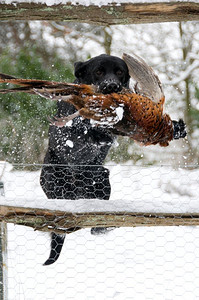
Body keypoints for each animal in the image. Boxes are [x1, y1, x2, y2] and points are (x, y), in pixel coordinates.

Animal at [40, 54, 131, 264]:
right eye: (98, 71)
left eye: (119, 72)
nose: (111, 86)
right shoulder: (68, 135)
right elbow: (80, 125)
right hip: (53, 180)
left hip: (102, 179)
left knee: (96, 228)